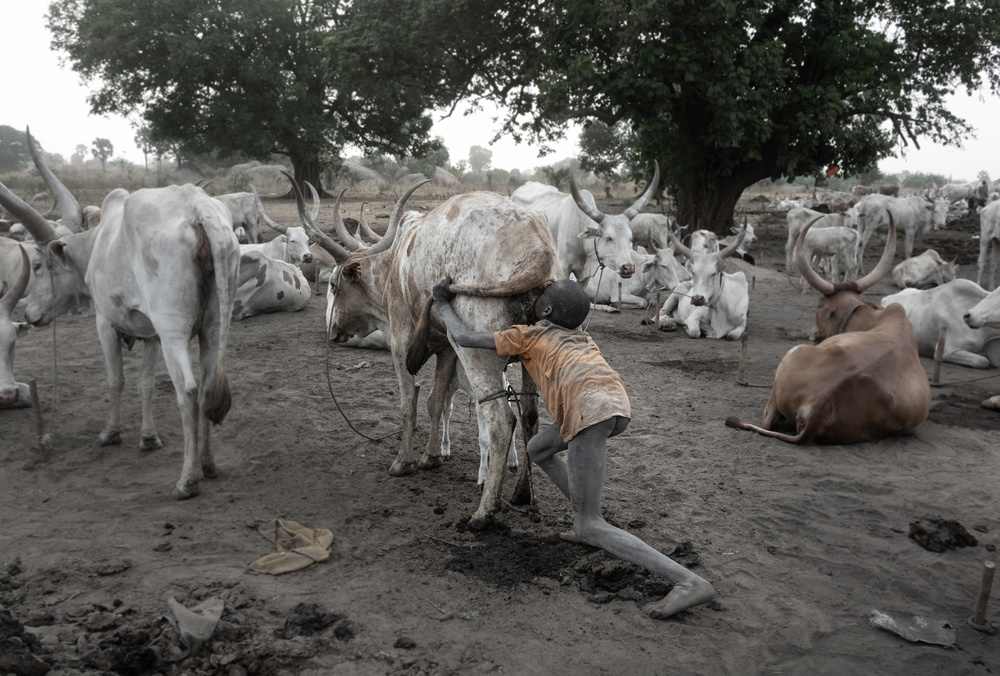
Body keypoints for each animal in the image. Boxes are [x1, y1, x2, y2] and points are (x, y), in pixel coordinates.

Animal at [2, 128, 239, 496]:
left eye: (38, 265)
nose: (31, 315)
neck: (100, 241)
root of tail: (199, 208)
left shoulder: (106, 323)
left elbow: (116, 379)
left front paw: (110, 433)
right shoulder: (152, 334)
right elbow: (144, 383)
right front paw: (148, 437)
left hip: (174, 331)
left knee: (188, 392)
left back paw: (187, 479)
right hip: (214, 326)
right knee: (207, 388)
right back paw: (209, 464)